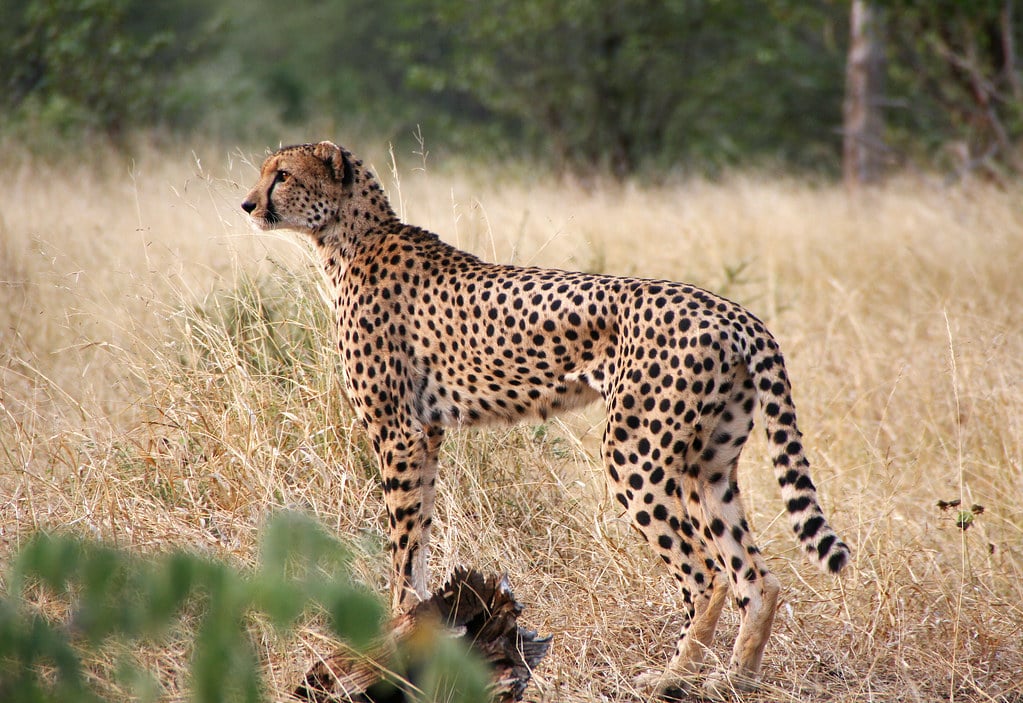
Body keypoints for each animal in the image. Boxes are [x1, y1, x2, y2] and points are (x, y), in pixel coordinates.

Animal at [241, 141, 851, 700]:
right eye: (266, 172)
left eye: (283, 175)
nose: (247, 204)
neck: (348, 238)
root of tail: (733, 311)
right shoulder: (427, 434)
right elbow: (421, 535)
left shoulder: (399, 434)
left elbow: (404, 548)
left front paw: (392, 636)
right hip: (710, 466)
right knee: (757, 578)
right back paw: (737, 677)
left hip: (635, 455)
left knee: (708, 576)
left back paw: (672, 678)